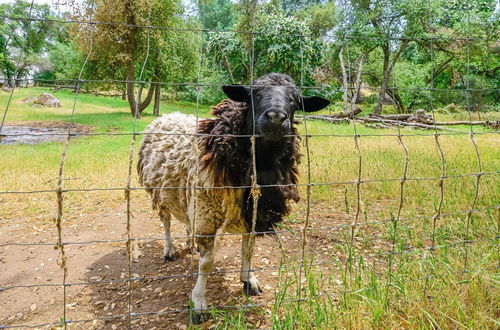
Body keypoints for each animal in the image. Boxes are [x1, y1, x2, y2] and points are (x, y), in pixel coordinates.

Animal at [139, 73, 330, 322]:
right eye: (253, 94)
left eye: (296, 100)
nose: (276, 118)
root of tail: (168, 115)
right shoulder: (208, 214)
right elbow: (207, 263)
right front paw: (199, 303)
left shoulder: (253, 211)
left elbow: (248, 248)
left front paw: (248, 280)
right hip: (160, 194)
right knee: (166, 222)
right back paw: (169, 250)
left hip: (189, 199)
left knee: (188, 222)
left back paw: (190, 244)